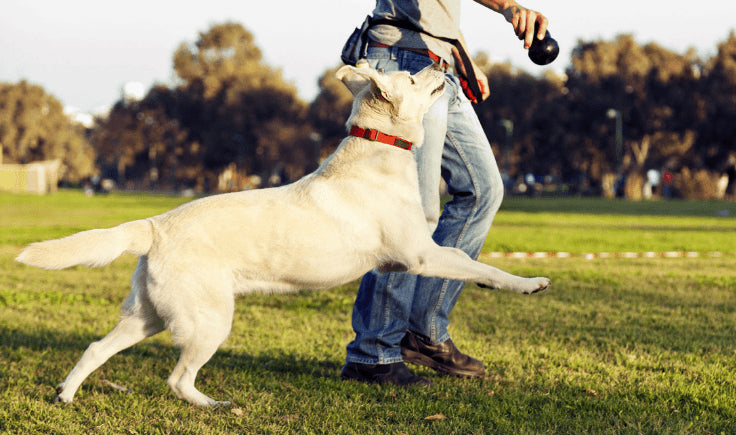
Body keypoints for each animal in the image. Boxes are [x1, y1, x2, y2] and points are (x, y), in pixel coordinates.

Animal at [15, 63, 548, 408]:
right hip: (209, 321)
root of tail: (154, 225)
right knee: (177, 378)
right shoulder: (421, 254)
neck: (378, 150)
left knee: (95, 348)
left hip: (148, 316)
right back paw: (213, 405)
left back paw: (65, 395)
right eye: (414, 78)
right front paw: (529, 284)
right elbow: (478, 264)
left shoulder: (413, 257)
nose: (442, 63)